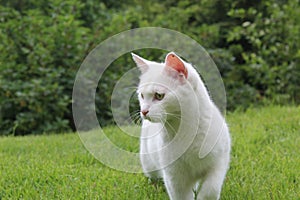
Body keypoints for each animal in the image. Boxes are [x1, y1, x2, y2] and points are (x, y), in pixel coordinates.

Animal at [132, 52, 232, 199]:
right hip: (149, 164)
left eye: (159, 96)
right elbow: (180, 195)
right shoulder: (174, 177)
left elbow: (211, 189)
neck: (185, 131)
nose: (144, 111)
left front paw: (203, 196)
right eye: (142, 96)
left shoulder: (219, 162)